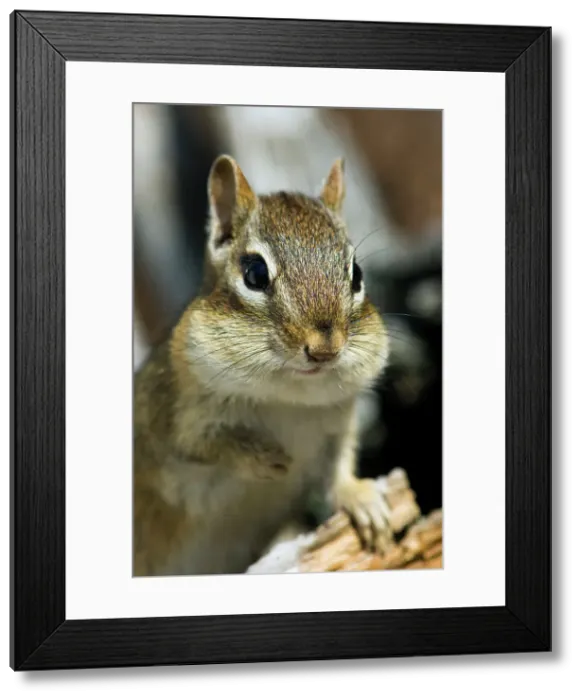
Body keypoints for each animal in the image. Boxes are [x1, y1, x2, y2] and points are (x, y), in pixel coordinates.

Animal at [133, 154, 391, 577]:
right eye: (254, 273)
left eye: (357, 273)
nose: (325, 350)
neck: (285, 399)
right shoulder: (169, 417)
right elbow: (203, 444)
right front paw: (262, 457)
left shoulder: (337, 426)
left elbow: (338, 469)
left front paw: (362, 499)